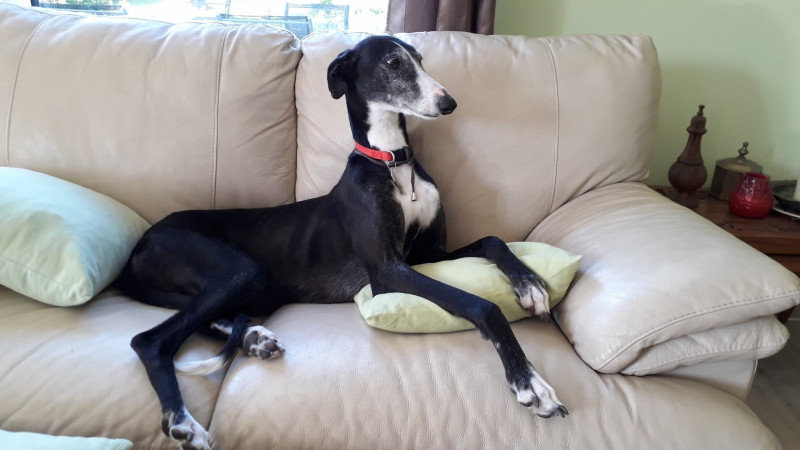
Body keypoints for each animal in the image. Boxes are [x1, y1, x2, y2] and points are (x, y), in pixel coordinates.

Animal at [117, 35, 567, 450]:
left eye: (420, 58)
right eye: (393, 62)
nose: (449, 103)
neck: (392, 163)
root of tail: (139, 246)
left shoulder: (427, 254)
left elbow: (492, 240)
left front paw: (530, 285)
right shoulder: (388, 271)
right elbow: (483, 305)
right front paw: (529, 381)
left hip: (249, 285)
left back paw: (253, 338)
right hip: (236, 269)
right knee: (149, 341)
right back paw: (183, 421)